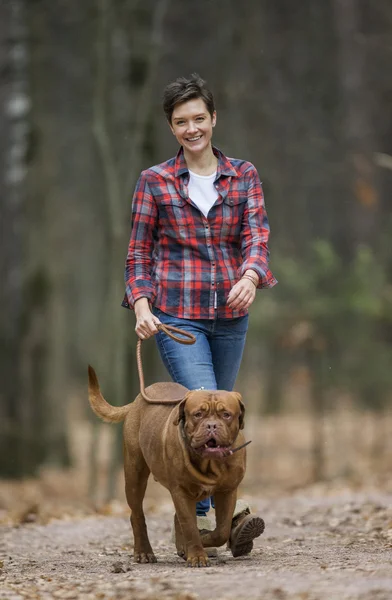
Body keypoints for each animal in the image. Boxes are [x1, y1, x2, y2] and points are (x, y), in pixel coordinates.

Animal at [89, 366, 248, 568]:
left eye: (226, 415)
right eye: (198, 414)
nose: (211, 425)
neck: (209, 463)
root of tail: (138, 400)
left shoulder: (227, 490)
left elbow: (221, 530)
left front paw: (204, 541)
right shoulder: (180, 490)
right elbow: (189, 525)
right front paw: (197, 555)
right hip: (134, 474)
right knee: (137, 514)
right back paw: (144, 552)